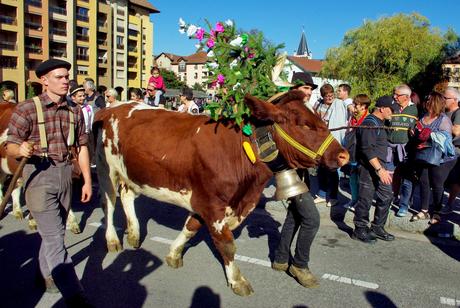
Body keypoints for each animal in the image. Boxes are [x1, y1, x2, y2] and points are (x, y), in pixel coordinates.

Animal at [94, 91, 348, 296]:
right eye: (304, 124)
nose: (344, 155)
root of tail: (112, 106)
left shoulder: (205, 202)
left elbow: (191, 228)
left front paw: (174, 254)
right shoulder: (212, 205)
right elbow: (226, 244)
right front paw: (237, 281)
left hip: (130, 173)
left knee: (127, 196)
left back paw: (134, 234)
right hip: (106, 169)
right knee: (109, 203)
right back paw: (113, 240)